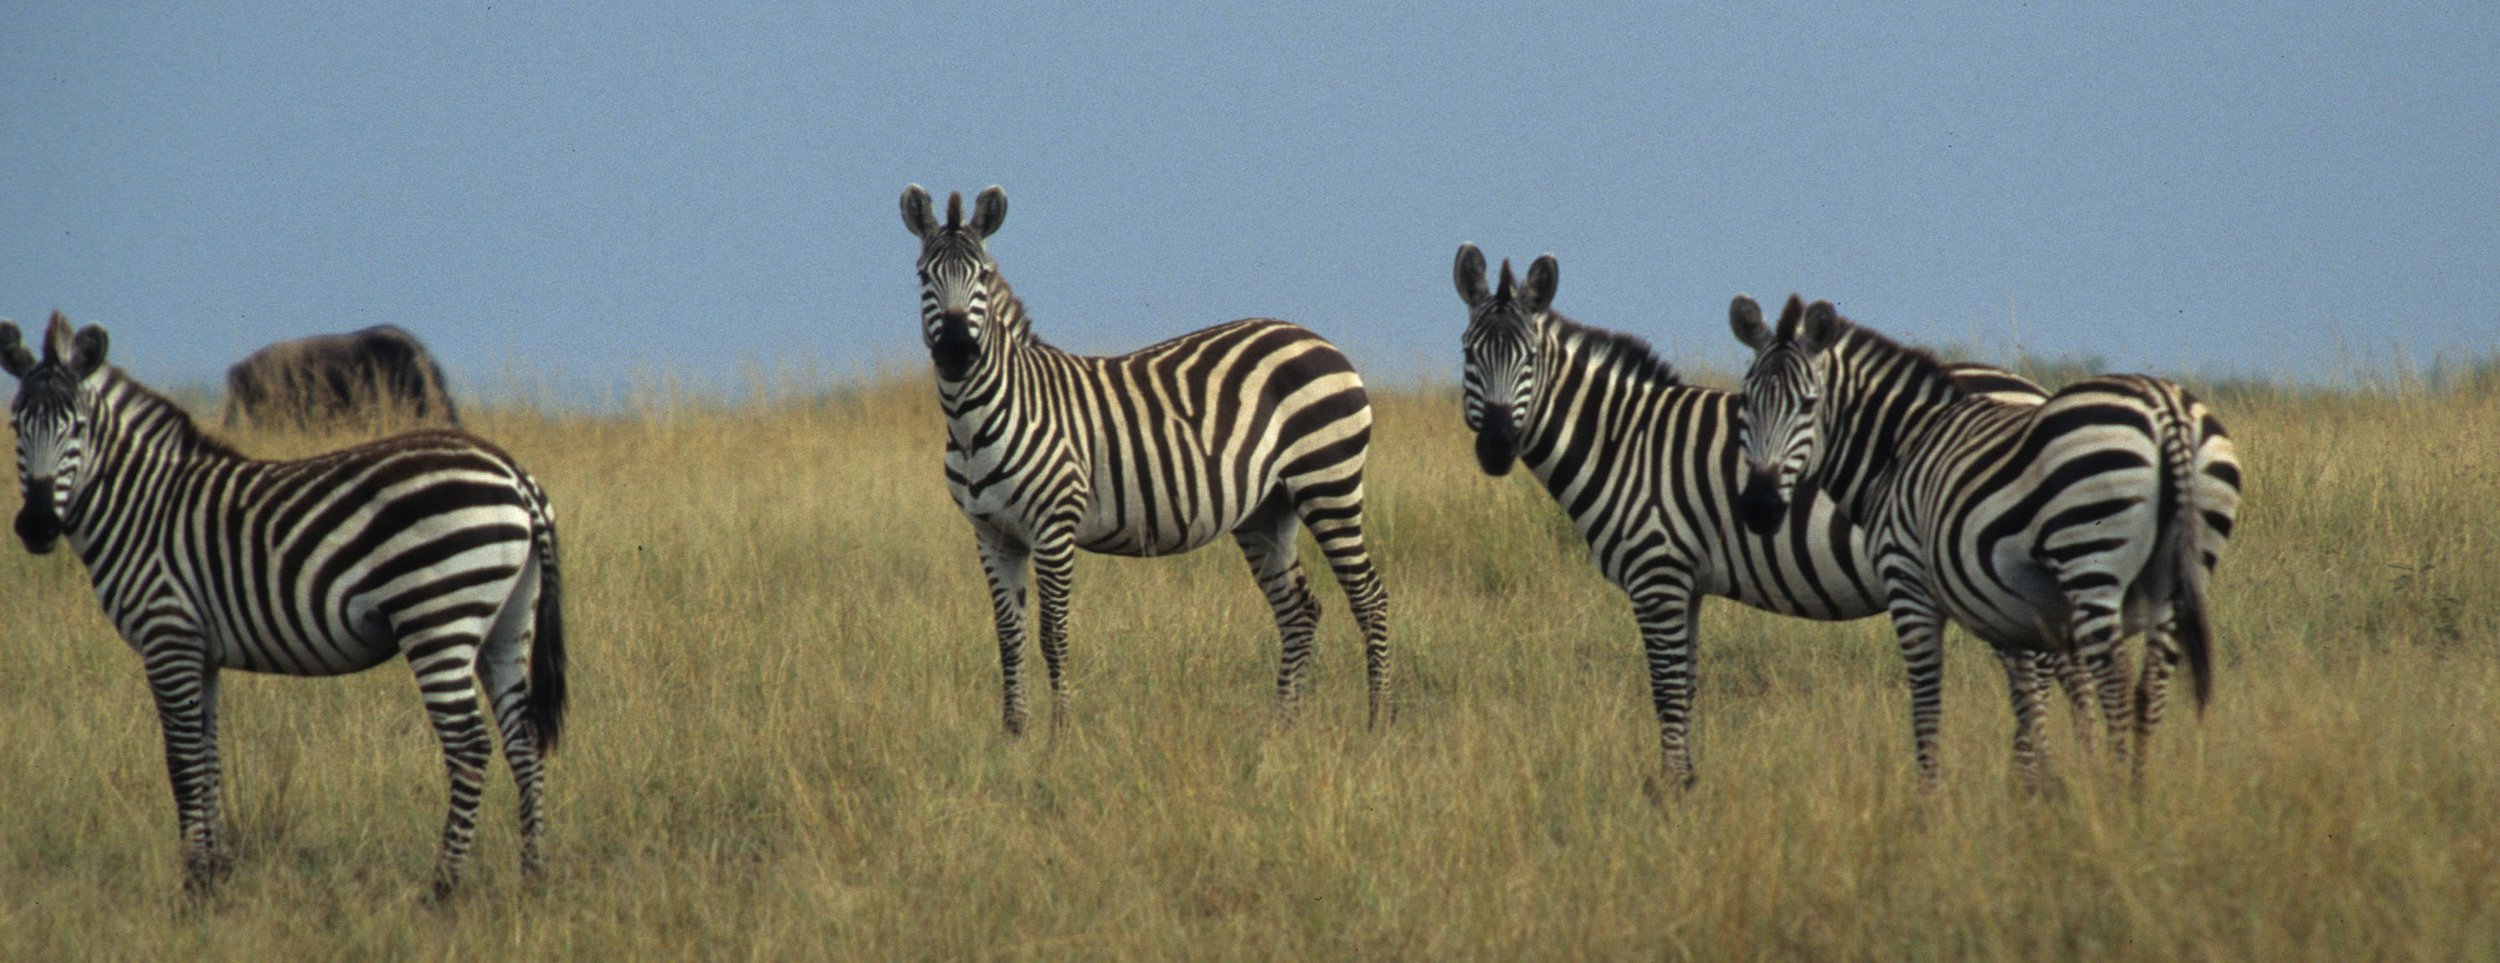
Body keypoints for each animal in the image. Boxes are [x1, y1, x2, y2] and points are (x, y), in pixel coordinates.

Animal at [2, 312, 566, 897]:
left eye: (78, 428)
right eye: (15, 426)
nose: (36, 527)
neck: (143, 507)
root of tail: (515, 476)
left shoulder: (168, 635)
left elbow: (180, 759)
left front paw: (193, 881)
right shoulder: (202, 651)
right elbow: (208, 753)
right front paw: (217, 870)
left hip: (437, 618)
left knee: (470, 745)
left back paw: (443, 887)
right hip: (508, 623)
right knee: (523, 740)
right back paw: (533, 876)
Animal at [901, 185, 1391, 733]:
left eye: (983, 275)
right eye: (923, 276)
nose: (956, 352)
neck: (976, 421)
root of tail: (1317, 339)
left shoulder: (1054, 525)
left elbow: (1052, 633)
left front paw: (1059, 735)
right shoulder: (992, 534)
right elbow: (1009, 636)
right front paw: (1013, 735)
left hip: (1328, 483)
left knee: (1369, 598)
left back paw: (1378, 722)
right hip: (1268, 509)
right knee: (1299, 610)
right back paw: (1281, 729)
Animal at [1453, 246, 2096, 791]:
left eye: (1531, 359)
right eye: (1467, 354)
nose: (1496, 448)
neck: (1623, 442)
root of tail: (2033, 391)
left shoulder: (1657, 571)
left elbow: (1666, 687)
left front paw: (1668, 794)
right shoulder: (1686, 583)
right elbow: (1686, 682)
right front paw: (1687, 786)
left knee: (2036, 673)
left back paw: (2033, 782)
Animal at [1728, 294, 2240, 792]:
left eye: (1808, 404)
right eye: (1746, 401)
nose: (1758, 505)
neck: (1899, 449)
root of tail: (2166, 410)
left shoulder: (1907, 583)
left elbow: (1927, 700)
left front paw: (1930, 800)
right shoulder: (2008, 611)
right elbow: (2026, 698)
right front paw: (2038, 791)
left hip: (2090, 557)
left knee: (2115, 681)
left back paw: (2115, 798)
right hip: (2180, 572)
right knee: (2150, 685)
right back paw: (2136, 793)